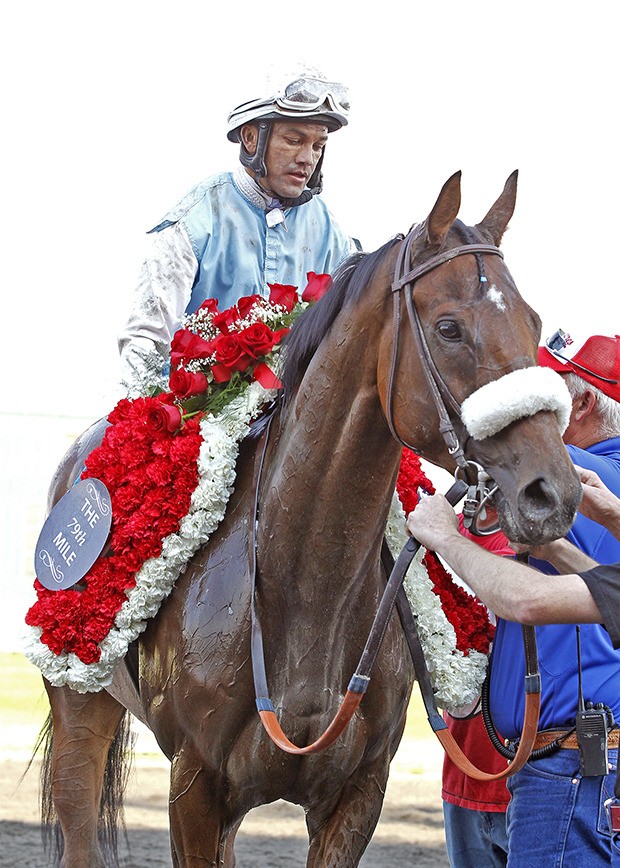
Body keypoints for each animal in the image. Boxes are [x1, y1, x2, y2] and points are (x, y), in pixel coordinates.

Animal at [38, 171, 580, 868]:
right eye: (450, 328)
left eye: (533, 320)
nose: (551, 493)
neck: (302, 588)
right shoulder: (193, 786)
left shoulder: (357, 792)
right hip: (81, 707)